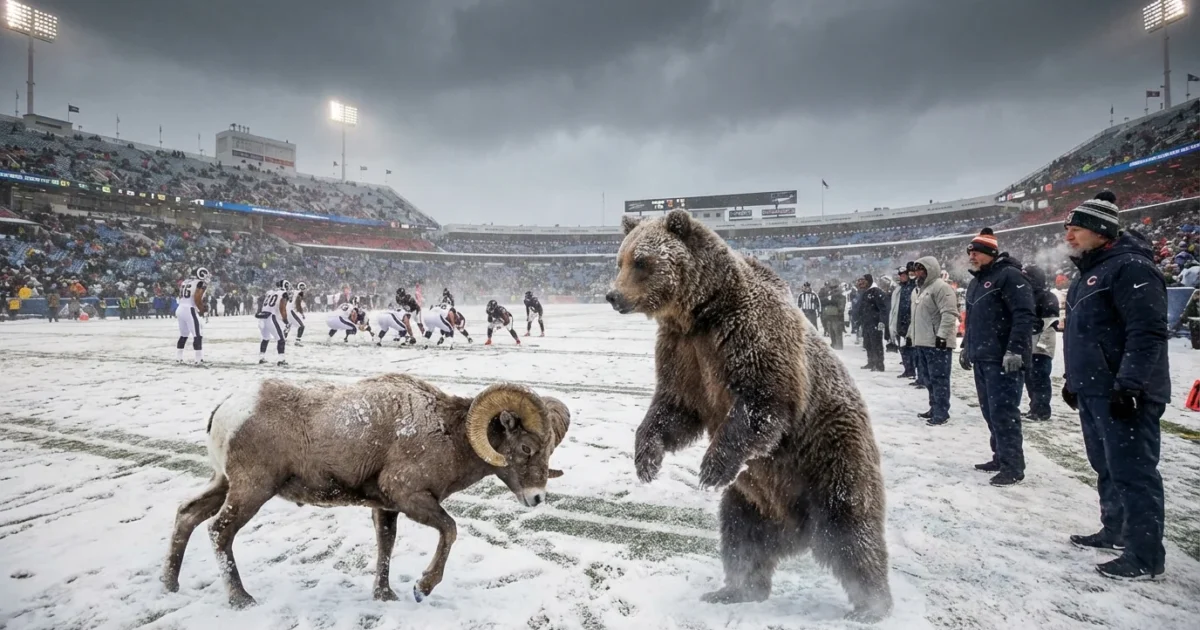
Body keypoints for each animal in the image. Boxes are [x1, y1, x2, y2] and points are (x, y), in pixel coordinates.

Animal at [605, 209, 892, 622]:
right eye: (620, 260)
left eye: (641, 261)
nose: (613, 295)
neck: (700, 313)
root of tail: (798, 531)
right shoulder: (683, 352)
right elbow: (674, 407)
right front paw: (646, 459)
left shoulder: (749, 335)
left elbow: (763, 401)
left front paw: (710, 468)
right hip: (752, 501)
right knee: (741, 536)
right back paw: (735, 589)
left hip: (832, 457)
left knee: (851, 529)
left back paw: (871, 605)